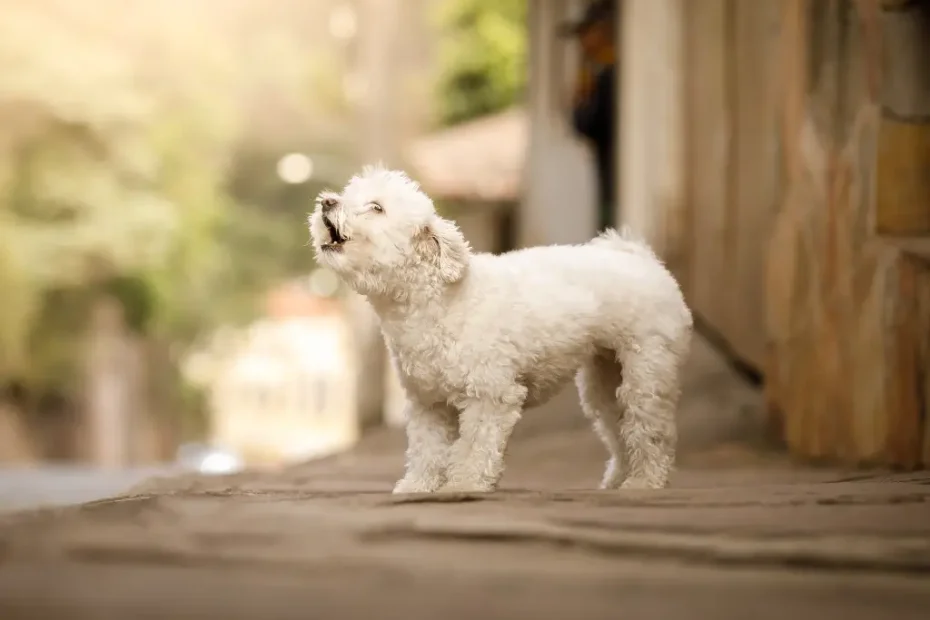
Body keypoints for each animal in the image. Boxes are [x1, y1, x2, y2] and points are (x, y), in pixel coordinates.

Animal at [308, 166, 692, 494]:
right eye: (347, 195)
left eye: (376, 208)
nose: (327, 201)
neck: (437, 301)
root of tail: (642, 259)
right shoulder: (427, 403)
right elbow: (426, 450)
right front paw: (418, 486)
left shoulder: (490, 395)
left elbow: (474, 445)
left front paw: (464, 484)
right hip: (605, 378)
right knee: (617, 424)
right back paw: (618, 478)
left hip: (647, 371)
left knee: (650, 428)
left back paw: (644, 481)